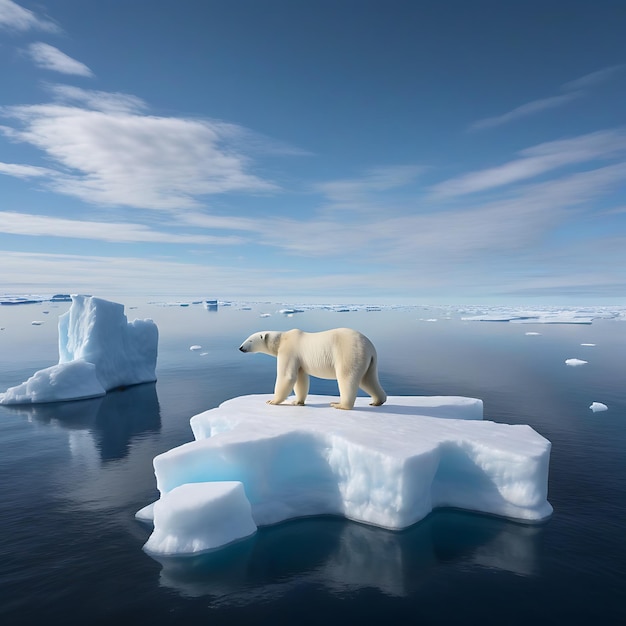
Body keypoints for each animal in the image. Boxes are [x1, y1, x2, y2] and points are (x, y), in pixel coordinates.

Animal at [239, 326, 386, 410]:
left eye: (250, 340)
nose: (240, 347)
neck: (282, 338)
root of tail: (370, 347)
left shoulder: (289, 350)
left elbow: (287, 376)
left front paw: (272, 401)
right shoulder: (299, 359)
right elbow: (301, 379)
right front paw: (297, 402)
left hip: (349, 352)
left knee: (347, 377)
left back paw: (339, 404)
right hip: (369, 361)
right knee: (368, 379)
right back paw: (377, 401)